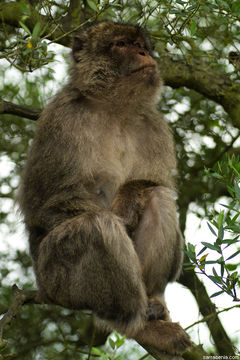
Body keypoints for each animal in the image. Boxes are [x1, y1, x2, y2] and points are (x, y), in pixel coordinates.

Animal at [17, 20, 191, 354]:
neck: (115, 109)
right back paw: (137, 324)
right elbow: (46, 207)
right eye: (122, 44)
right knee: (96, 226)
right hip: (59, 282)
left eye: (142, 46)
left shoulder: (155, 126)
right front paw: (120, 211)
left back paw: (153, 305)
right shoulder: (61, 120)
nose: (143, 54)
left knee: (159, 197)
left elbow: (155, 183)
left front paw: (130, 196)